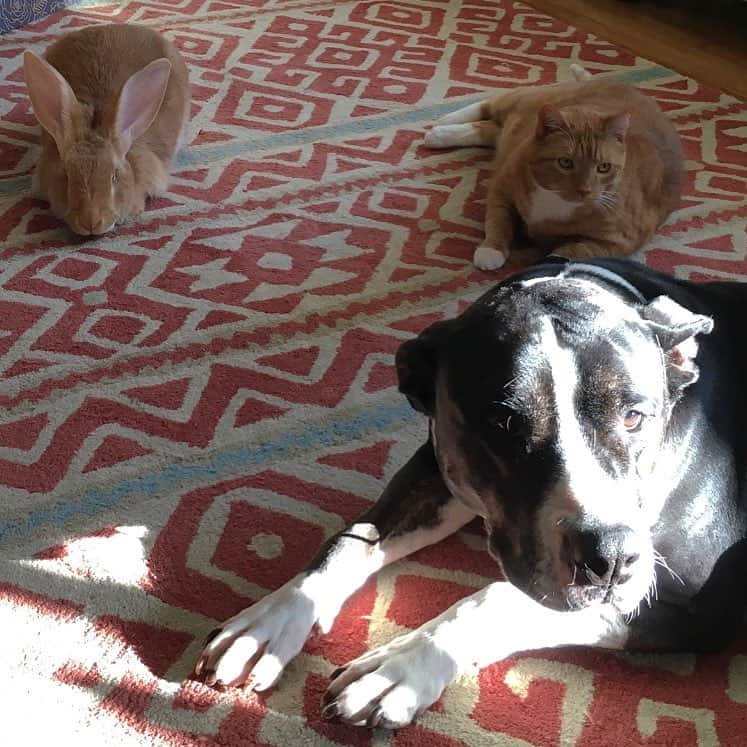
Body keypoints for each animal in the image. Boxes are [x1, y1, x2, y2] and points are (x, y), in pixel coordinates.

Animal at [194, 258, 747, 732]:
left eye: (634, 417)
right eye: (503, 424)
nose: (609, 559)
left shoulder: (697, 606)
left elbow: (497, 597)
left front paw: (402, 665)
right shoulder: (437, 473)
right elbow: (351, 539)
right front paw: (271, 621)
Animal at [426, 64, 684, 268]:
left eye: (603, 167)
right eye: (565, 162)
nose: (584, 190)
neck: (553, 199)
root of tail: (628, 87)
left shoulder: (622, 240)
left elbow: (573, 251)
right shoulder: (502, 189)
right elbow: (499, 220)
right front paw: (491, 250)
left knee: (488, 129)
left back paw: (440, 133)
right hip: (523, 101)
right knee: (488, 104)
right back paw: (443, 122)